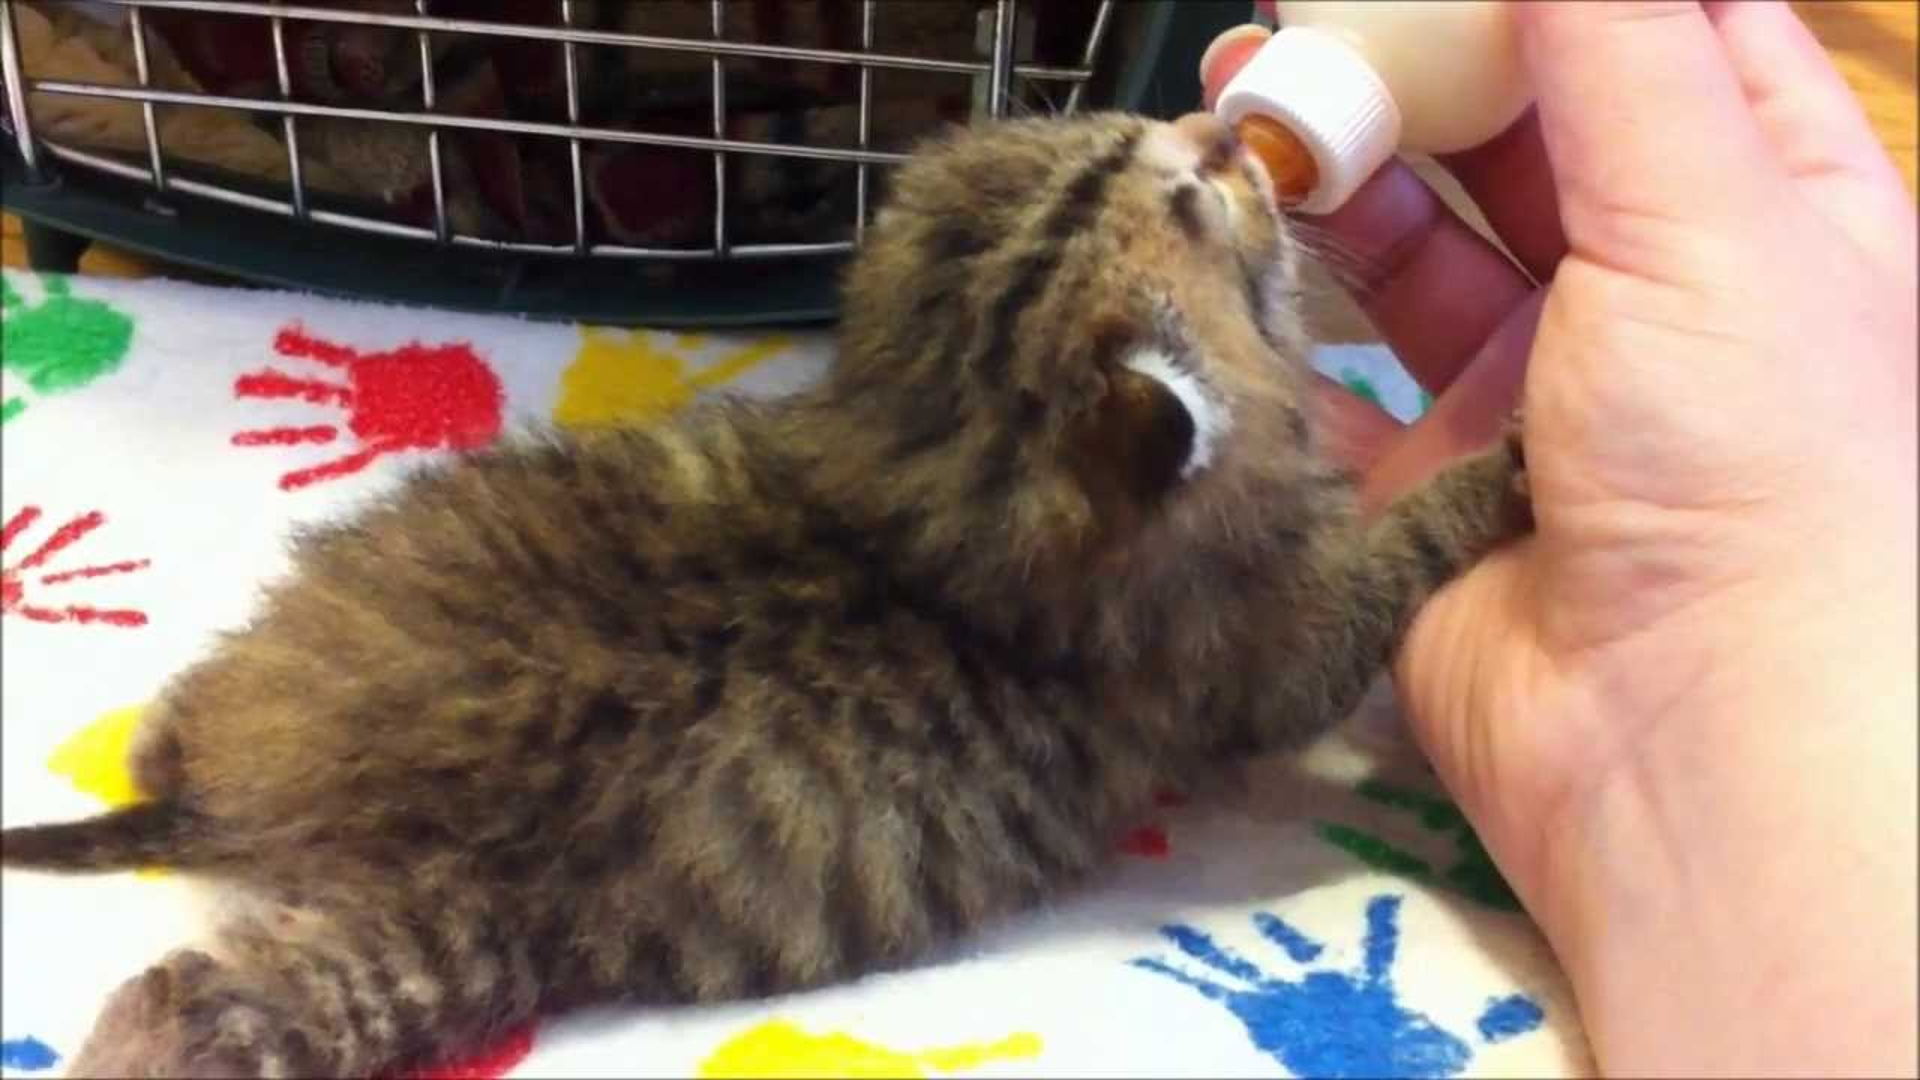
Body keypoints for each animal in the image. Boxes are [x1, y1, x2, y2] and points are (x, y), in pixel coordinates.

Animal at [0, 111, 1528, 1076]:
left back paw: (161, 735)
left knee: (179, 721)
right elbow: (1383, 569)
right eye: (1188, 203)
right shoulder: (1259, 652)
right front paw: (1501, 472)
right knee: (206, 1006)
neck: (939, 475)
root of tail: (229, 809)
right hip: (447, 942)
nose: (1223, 134)